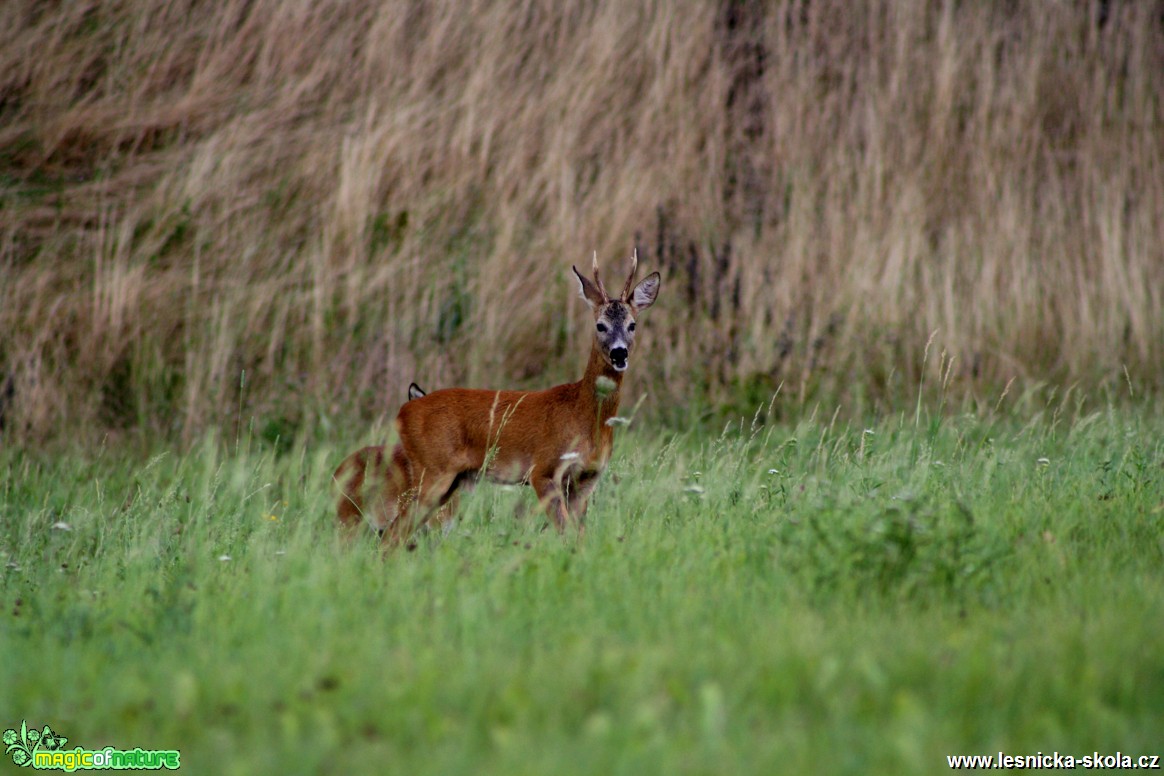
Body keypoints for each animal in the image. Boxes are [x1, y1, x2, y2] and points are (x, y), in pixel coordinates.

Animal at [337, 252, 665, 544]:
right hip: (433, 471)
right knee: (392, 534)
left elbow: (581, 537)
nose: (619, 353)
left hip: (447, 481)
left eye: (632, 324)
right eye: (600, 325)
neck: (584, 415)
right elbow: (565, 534)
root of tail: (404, 411)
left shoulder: (586, 478)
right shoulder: (543, 469)